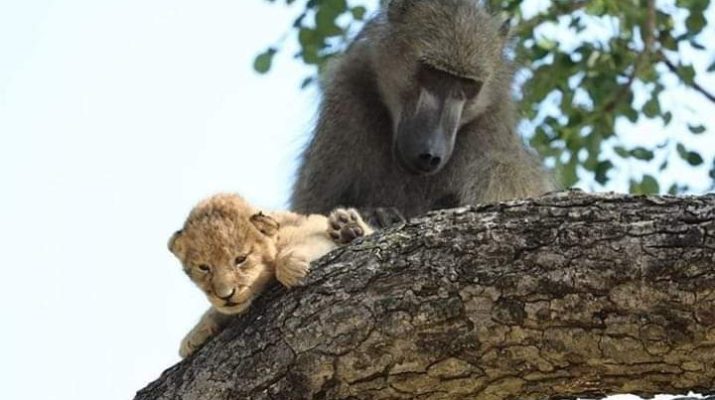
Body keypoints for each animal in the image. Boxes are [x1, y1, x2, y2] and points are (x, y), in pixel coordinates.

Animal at [290, 0, 556, 224]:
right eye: (433, 72)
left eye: (467, 84)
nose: (430, 154)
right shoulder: (346, 92)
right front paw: (374, 215)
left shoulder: (491, 126)